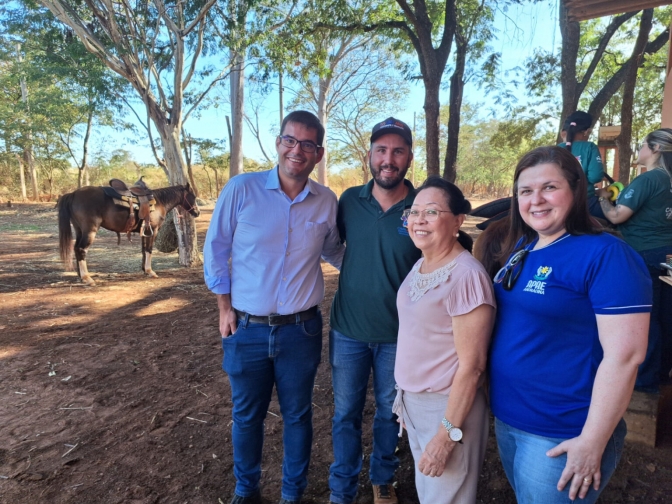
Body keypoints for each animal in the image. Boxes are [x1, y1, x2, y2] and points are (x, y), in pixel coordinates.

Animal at [59, 183, 200, 284]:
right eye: (193, 196)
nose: (197, 212)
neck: (159, 202)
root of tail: (73, 194)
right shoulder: (153, 230)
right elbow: (149, 250)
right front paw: (150, 271)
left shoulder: (145, 231)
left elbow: (144, 250)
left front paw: (145, 270)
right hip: (89, 231)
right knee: (81, 249)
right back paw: (87, 278)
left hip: (79, 230)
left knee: (76, 248)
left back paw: (80, 276)